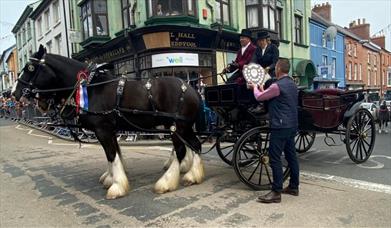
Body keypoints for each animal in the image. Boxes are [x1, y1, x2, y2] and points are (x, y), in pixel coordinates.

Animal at [13, 45, 205, 199]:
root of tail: (192, 88)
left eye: (30, 67)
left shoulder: (102, 130)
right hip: (182, 127)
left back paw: (170, 181)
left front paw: (117, 186)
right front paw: (111, 177)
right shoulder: (110, 130)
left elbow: (111, 155)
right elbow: (115, 153)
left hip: (177, 126)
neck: (91, 87)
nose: (14, 93)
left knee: (184, 149)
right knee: (193, 145)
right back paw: (191, 174)